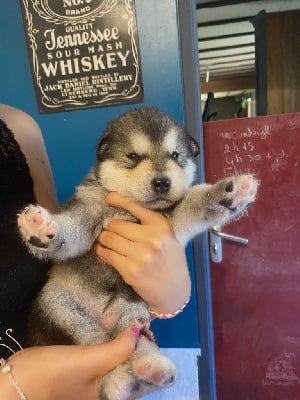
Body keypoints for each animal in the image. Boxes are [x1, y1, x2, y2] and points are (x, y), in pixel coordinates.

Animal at [18, 107, 258, 400]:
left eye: (175, 155)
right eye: (133, 157)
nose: (162, 182)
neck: (129, 205)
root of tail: (104, 318)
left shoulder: (172, 221)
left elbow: (196, 201)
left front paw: (231, 193)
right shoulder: (87, 209)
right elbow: (70, 229)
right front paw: (39, 229)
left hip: (131, 312)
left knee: (136, 341)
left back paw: (150, 368)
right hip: (62, 310)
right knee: (96, 348)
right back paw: (121, 379)